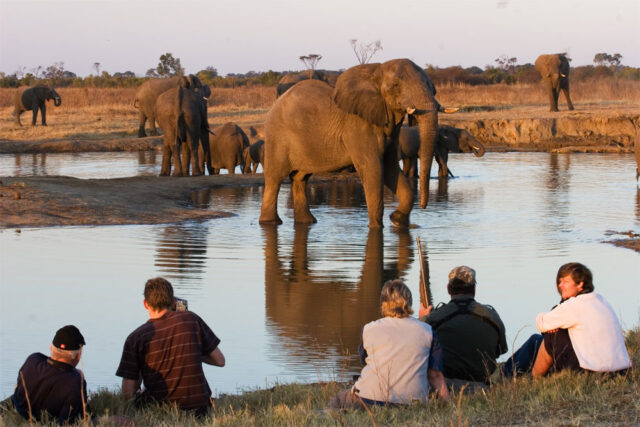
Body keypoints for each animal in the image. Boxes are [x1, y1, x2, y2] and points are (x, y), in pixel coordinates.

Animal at [260, 59, 440, 231]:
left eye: (431, 86)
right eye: (396, 85)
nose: (423, 207)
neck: (376, 70)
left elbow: (391, 169)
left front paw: (397, 220)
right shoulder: (358, 127)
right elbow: (373, 170)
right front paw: (377, 229)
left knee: (300, 178)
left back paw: (307, 222)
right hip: (277, 136)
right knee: (274, 179)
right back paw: (270, 222)